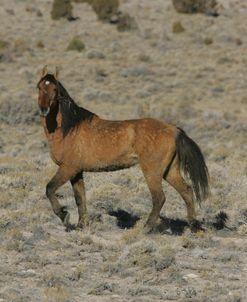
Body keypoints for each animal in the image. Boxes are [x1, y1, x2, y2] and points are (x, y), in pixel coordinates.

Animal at [37, 66, 209, 231]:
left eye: (55, 89)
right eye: (39, 87)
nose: (44, 109)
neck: (69, 129)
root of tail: (173, 129)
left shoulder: (68, 168)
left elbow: (49, 188)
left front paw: (64, 215)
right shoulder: (77, 172)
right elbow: (80, 199)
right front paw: (80, 225)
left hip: (152, 171)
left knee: (159, 198)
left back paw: (146, 228)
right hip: (169, 171)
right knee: (187, 191)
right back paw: (193, 225)